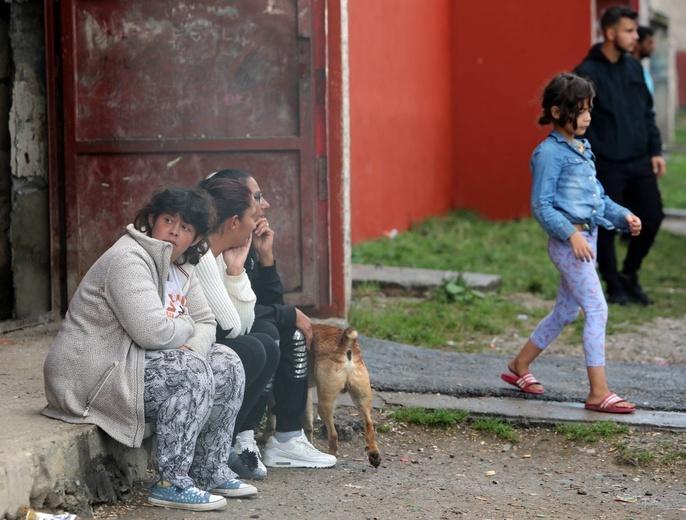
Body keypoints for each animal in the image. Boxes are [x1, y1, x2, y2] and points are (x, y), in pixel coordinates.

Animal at [262, 324, 382, 468]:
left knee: (334, 434)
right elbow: (308, 424)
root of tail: (345, 343)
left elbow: (271, 418)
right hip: (362, 398)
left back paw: (332, 454)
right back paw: (373, 453)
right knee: (369, 424)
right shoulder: (306, 393)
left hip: (325, 403)